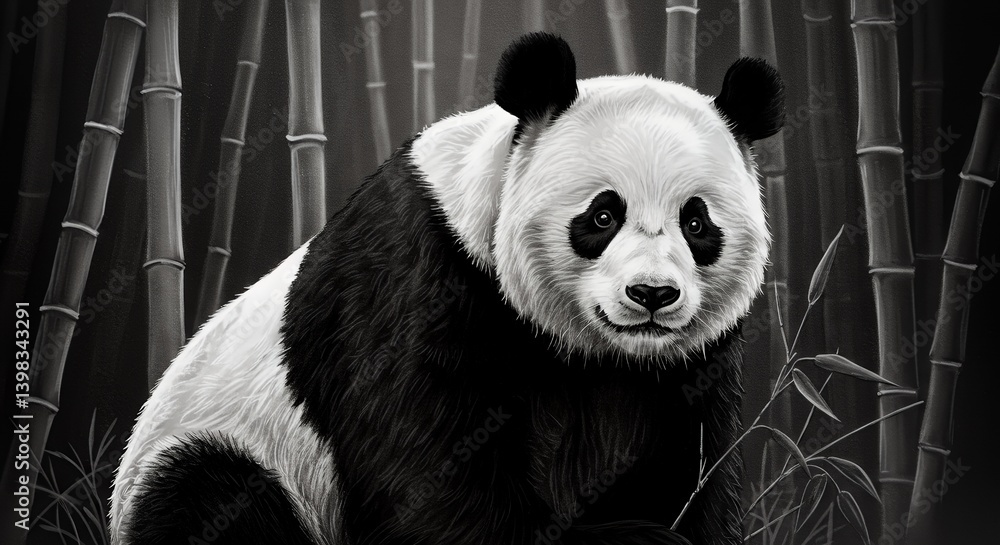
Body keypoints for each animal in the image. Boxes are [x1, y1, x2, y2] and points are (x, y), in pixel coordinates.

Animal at [111, 33, 782, 545]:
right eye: (601, 216)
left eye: (696, 223)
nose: (651, 295)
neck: (595, 352)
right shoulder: (419, 279)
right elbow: (429, 468)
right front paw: (625, 539)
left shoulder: (686, 367)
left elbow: (688, 464)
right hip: (233, 447)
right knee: (211, 497)